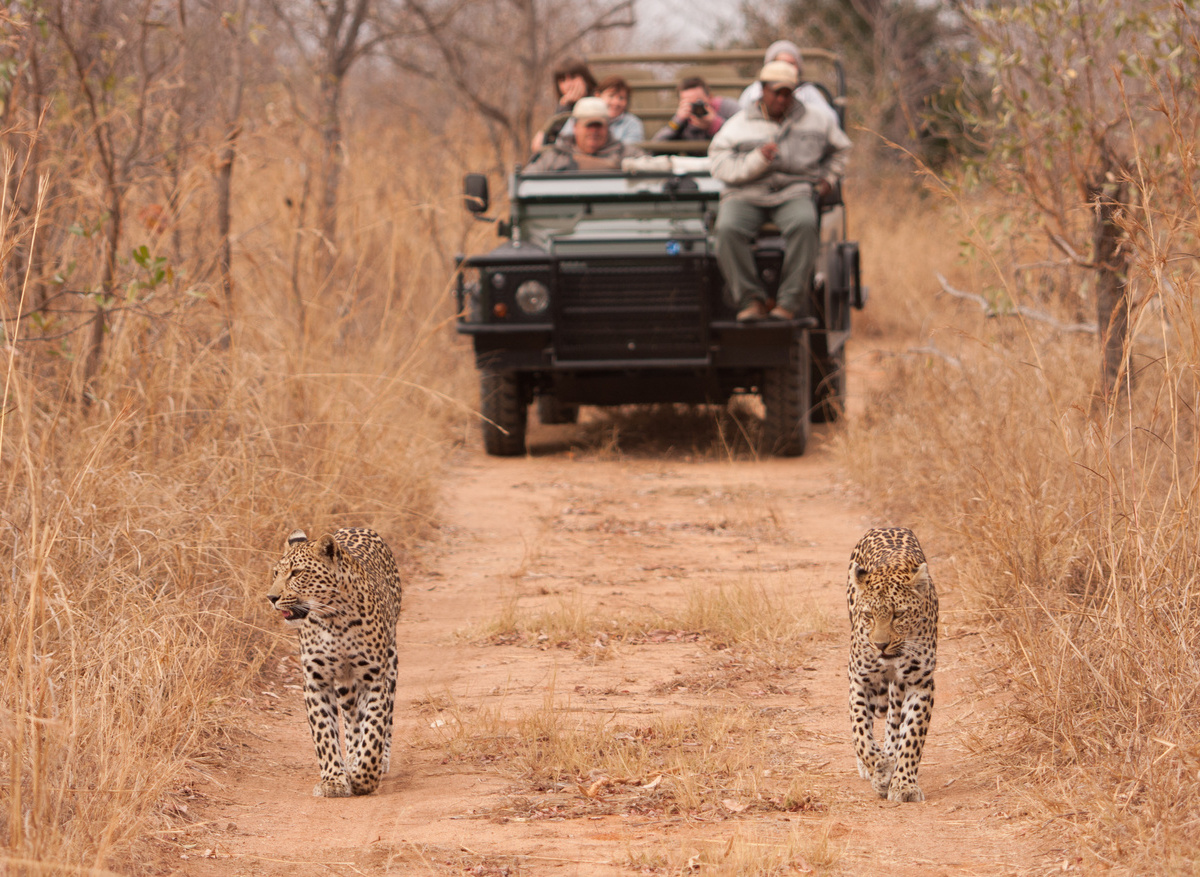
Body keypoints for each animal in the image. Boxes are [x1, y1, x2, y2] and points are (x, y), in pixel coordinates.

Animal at [268, 527, 403, 798]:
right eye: (276, 573)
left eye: (296, 573)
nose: (271, 597)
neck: (334, 620)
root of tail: (358, 527)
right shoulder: (316, 681)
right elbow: (325, 735)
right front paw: (334, 780)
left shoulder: (374, 678)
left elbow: (374, 728)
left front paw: (364, 777)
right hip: (345, 684)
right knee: (351, 719)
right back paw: (350, 757)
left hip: (391, 664)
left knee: (384, 718)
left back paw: (378, 760)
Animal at [846, 526, 938, 803]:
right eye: (868, 616)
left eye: (899, 615)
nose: (880, 645)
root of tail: (885, 527)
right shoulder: (859, 679)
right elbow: (860, 733)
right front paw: (881, 768)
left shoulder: (920, 683)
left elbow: (912, 736)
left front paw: (904, 784)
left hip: (898, 686)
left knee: (894, 721)